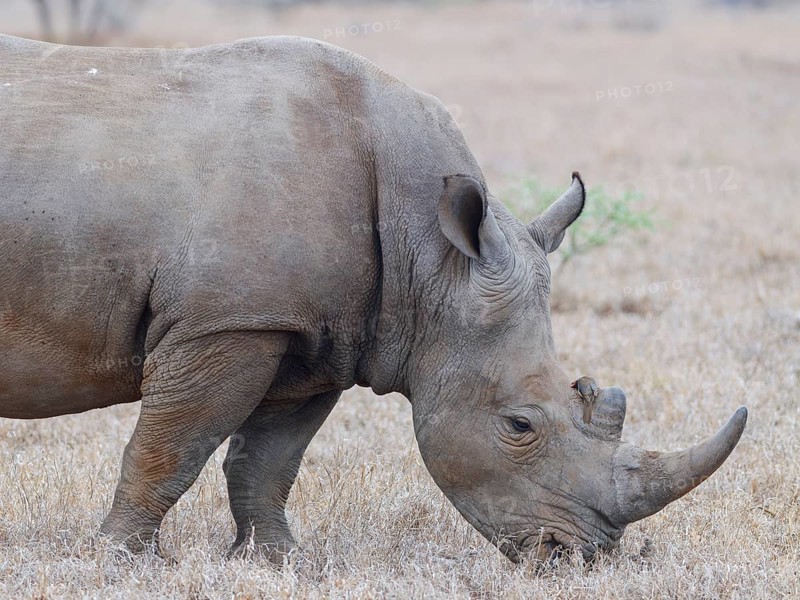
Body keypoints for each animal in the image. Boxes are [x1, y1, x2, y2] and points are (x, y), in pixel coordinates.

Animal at [0, 34, 747, 563]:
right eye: (518, 426)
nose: (581, 555)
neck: (436, 261)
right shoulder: (229, 322)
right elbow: (172, 446)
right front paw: (121, 561)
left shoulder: (313, 336)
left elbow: (267, 460)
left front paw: (276, 562)